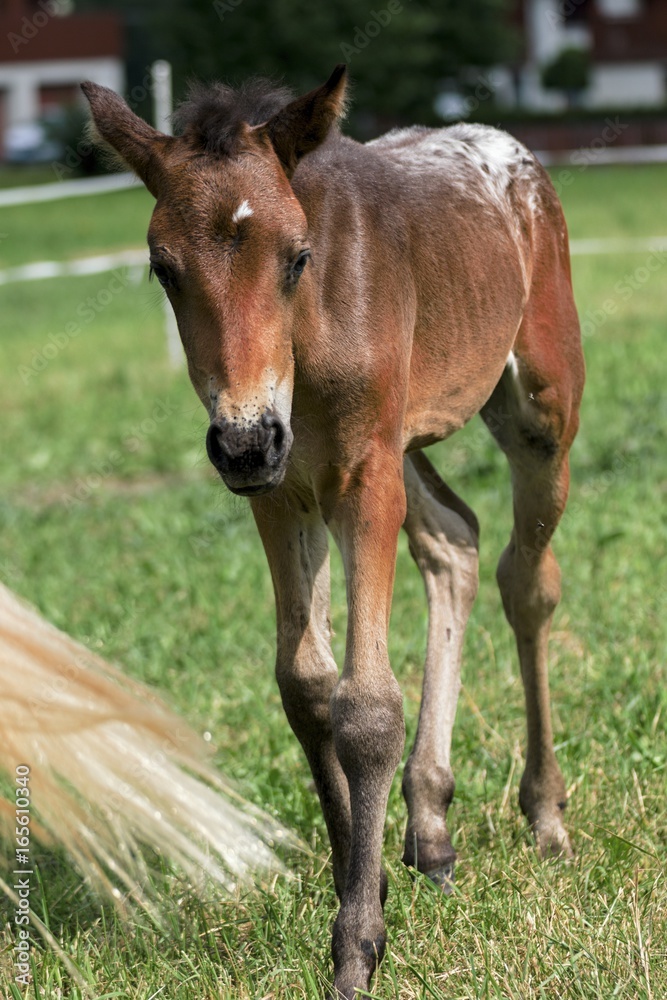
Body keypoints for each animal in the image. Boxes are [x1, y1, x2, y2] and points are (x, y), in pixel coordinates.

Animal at [82, 66, 584, 996]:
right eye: (162, 268)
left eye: (297, 256)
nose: (244, 438)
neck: (305, 345)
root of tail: (516, 156)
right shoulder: (282, 490)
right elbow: (305, 683)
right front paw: (366, 872)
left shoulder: (357, 477)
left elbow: (366, 705)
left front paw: (355, 944)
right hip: (401, 442)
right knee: (454, 541)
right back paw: (430, 827)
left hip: (534, 411)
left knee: (526, 581)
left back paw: (543, 814)